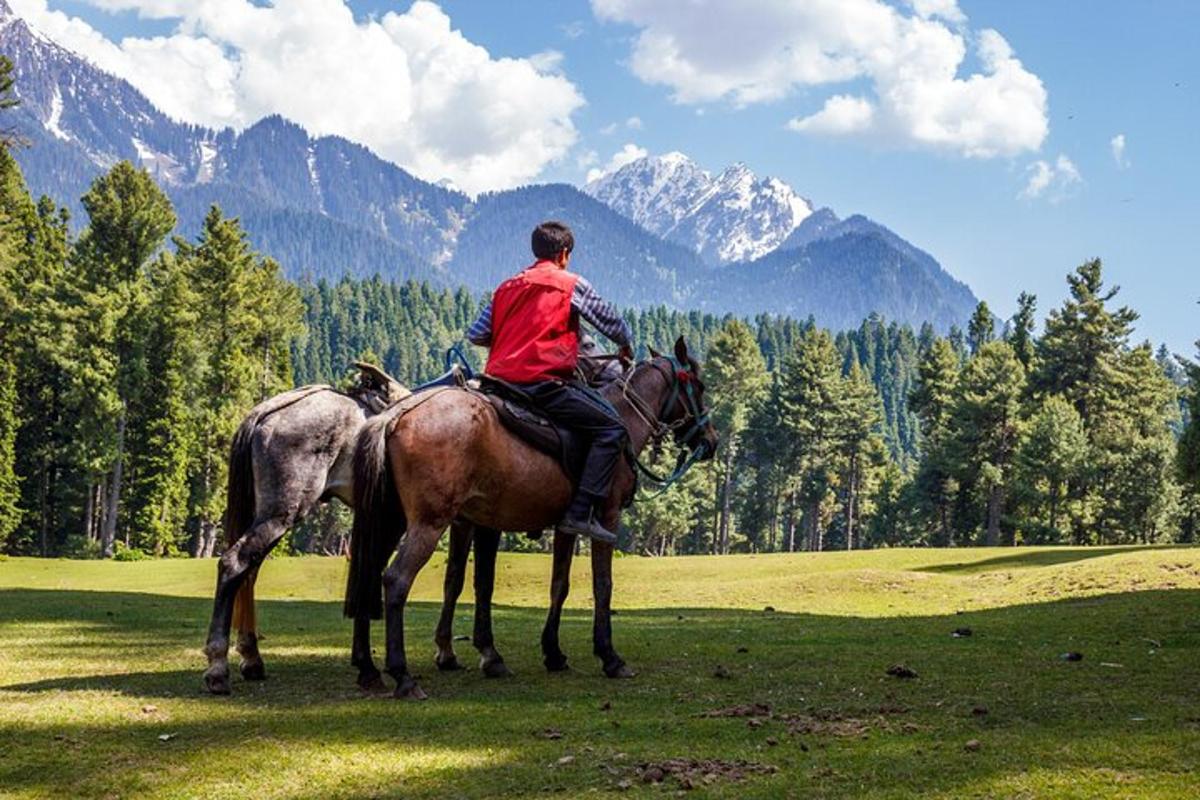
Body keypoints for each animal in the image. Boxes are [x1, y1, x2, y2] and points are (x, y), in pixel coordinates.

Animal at [348, 338, 720, 700]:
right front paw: (610, 657)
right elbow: (602, 585)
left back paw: (368, 668)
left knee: (367, 575)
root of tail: (395, 415)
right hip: (429, 521)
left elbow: (558, 584)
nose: (712, 440)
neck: (625, 416)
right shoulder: (607, 516)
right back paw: (402, 676)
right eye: (700, 387)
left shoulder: (564, 523)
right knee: (396, 579)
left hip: (390, 518)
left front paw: (550, 653)